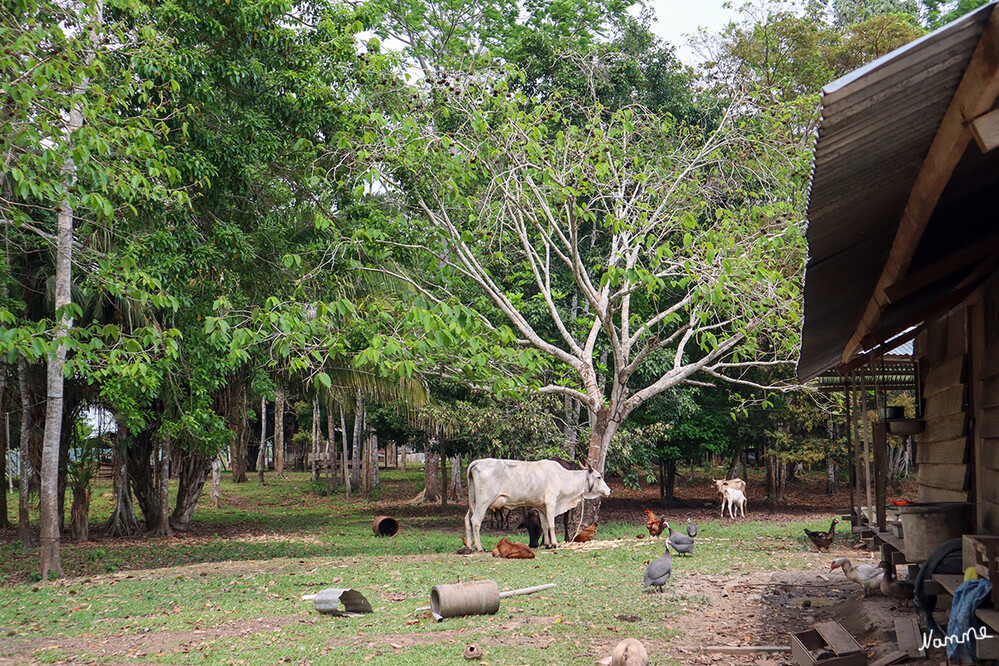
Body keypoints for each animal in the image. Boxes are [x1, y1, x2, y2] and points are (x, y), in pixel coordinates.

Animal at [464, 456, 612, 548]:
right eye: (598, 477)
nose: (609, 490)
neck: (562, 477)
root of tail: (477, 462)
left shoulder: (541, 506)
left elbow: (545, 525)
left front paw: (547, 543)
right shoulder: (551, 503)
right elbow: (551, 525)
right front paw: (555, 543)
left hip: (474, 501)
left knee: (467, 519)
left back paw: (470, 546)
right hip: (484, 501)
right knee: (475, 520)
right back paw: (479, 547)